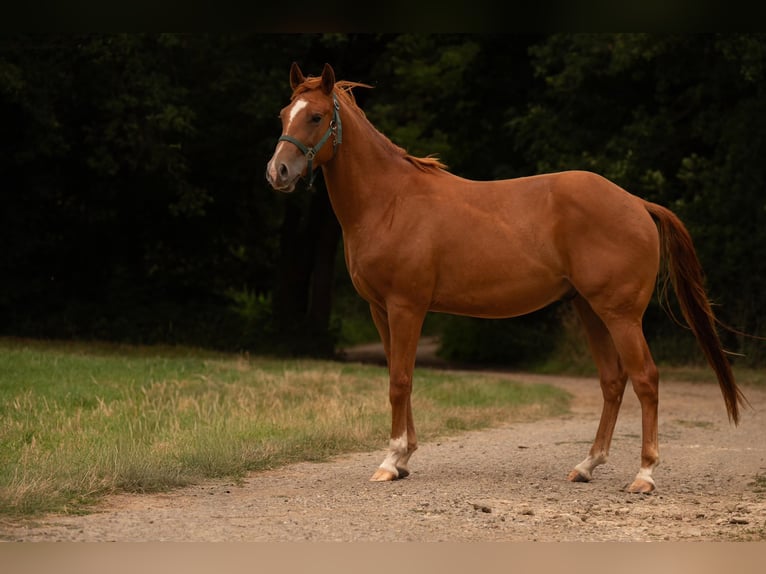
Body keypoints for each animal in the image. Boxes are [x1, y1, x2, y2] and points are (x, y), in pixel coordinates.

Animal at [266, 62, 748, 493]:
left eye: (316, 116)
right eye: (284, 114)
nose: (278, 172)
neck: (390, 201)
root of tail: (636, 203)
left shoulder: (406, 307)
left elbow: (400, 380)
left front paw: (390, 461)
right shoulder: (380, 310)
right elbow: (399, 378)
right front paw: (403, 460)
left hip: (621, 315)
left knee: (645, 378)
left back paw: (644, 475)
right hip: (591, 310)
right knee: (613, 382)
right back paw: (586, 466)